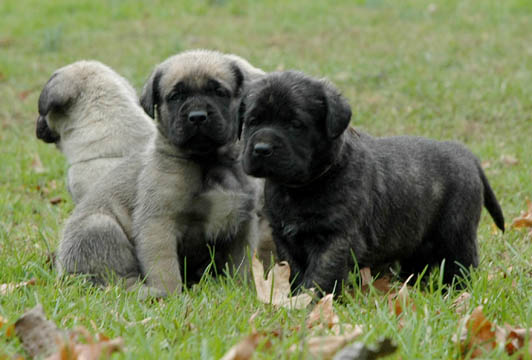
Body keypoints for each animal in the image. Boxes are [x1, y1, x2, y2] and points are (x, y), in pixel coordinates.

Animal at [57, 49, 264, 296]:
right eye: (175, 96)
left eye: (219, 92)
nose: (197, 116)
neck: (208, 161)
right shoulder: (158, 223)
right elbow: (165, 268)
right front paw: (172, 296)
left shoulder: (242, 225)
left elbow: (243, 265)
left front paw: (245, 291)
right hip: (99, 226)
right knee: (116, 279)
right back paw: (148, 294)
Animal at [239, 71, 504, 296]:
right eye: (252, 121)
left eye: (295, 124)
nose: (261, 149)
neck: (300, 187)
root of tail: (466, 154)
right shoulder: (284, 238)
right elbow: (294, 271)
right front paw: (294, 297)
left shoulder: (336, 239)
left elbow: (321, 275)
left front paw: (309, 302)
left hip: (456, 233)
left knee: (461, 266)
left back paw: (456, 293)